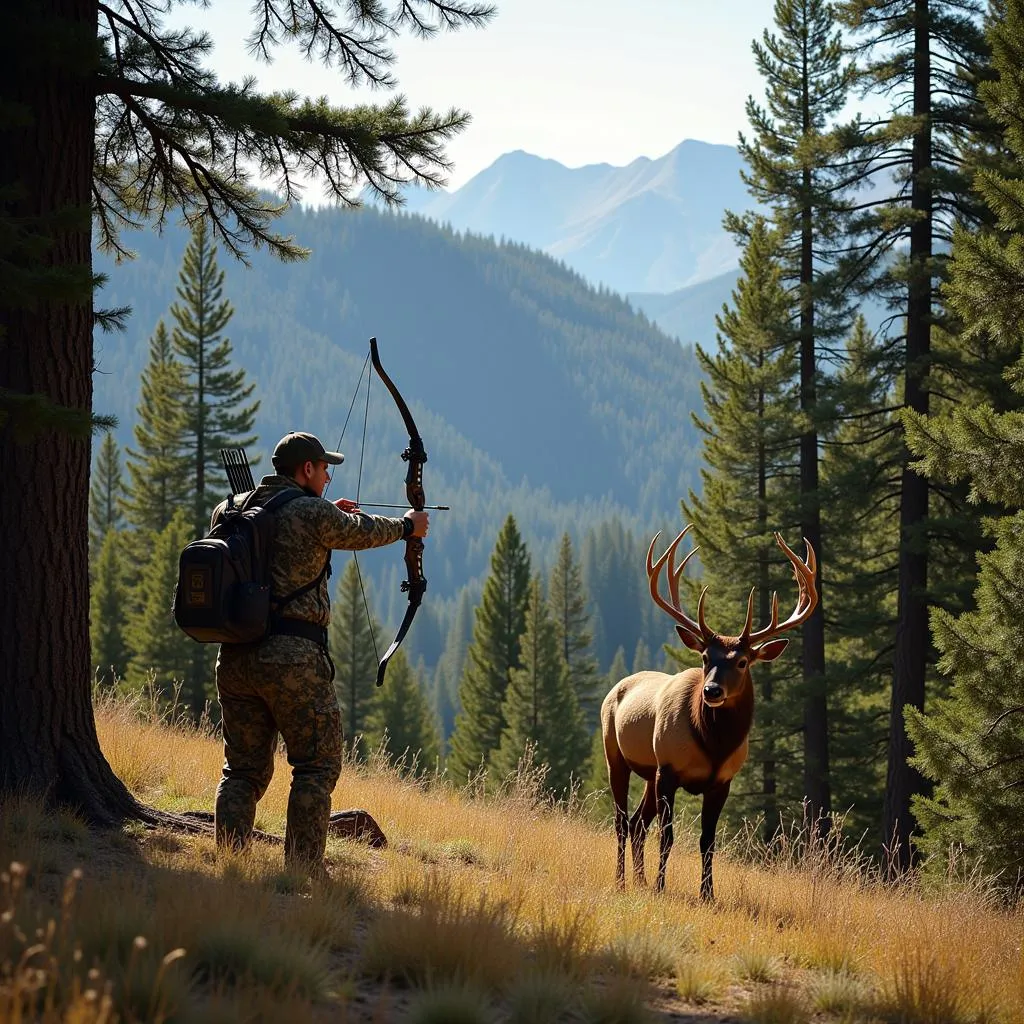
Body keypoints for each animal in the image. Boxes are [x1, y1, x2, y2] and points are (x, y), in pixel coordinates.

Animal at [598, 524, 815, 901]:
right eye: (704, 658)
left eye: (742, 662)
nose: (712, 691)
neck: (713, 744)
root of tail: (617, 686)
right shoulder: (669, 769)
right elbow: (668, 836)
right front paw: (661, 887)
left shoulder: (722, 781)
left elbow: (707, 841)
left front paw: (708, 894)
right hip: (618, 757)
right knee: (622, 821)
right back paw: (624, 880)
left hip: (649, 775)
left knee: (638, 823)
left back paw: (639, 880)